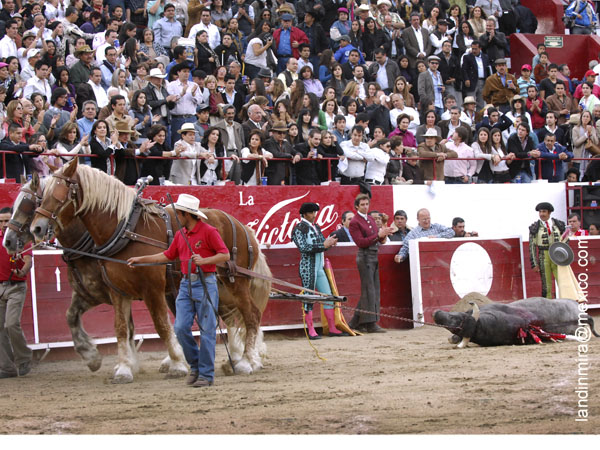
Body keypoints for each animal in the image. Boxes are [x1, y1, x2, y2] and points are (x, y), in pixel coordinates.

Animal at [30, 158, 270, 384]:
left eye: (59, 194)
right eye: (42, 196)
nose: (37, 228)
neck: (125, 229)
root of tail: (242, 226)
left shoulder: (152, 290)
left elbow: (161, 325)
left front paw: (177, 364)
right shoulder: (117, 292)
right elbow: (120, 328)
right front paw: (123, 369)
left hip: (235, 282)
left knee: (251, 315)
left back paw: (247, 361)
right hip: (216, 287)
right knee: (229, 316)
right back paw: (238, 360)